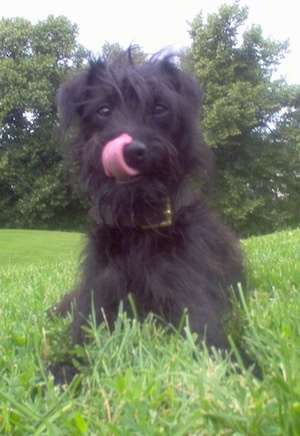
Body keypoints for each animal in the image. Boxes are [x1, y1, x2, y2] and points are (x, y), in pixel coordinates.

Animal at [56, 51, 244, 358]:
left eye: (159, 108)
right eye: (103, 110)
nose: (132, 151)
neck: (139, 223)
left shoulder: (192, 303)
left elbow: (214, 346)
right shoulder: (96, 307)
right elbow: (75, 354)